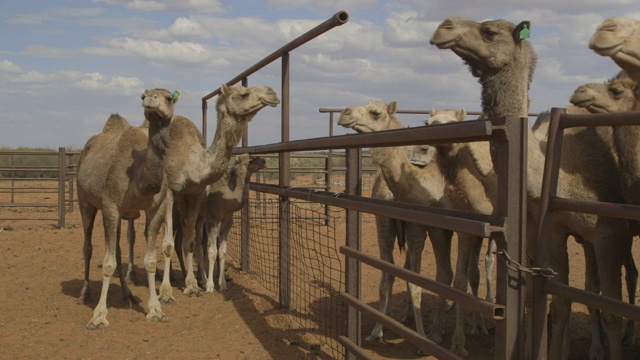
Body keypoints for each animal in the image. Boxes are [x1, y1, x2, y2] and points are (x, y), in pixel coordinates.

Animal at [78, 88, 182, 330]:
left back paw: (128, 295)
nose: (151, 101)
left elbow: (150, 260)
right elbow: (107, 263)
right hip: (85, 201)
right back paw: (84, 293)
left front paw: (156, 310)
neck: (140, 178)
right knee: (88, 246)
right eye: (143, 97)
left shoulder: (156, 209)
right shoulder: (110, 207)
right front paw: (98, 316)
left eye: (169, 98)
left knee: (116, 248)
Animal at [159, 83, 278, 300]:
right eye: (244, 93)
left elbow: (219, 250)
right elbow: (211, 250)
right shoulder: (211, 217)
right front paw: (208, 286)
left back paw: (192, 277)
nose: (272, 93)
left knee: (188, 241)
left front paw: (219, 283)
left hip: (193, 215)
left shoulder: (224, 218)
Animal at [430, 15, 632, 358]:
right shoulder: (555, 231)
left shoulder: (609, 234)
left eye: (488, 32)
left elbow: (610, 310)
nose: (444, 26)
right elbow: (557, 300)